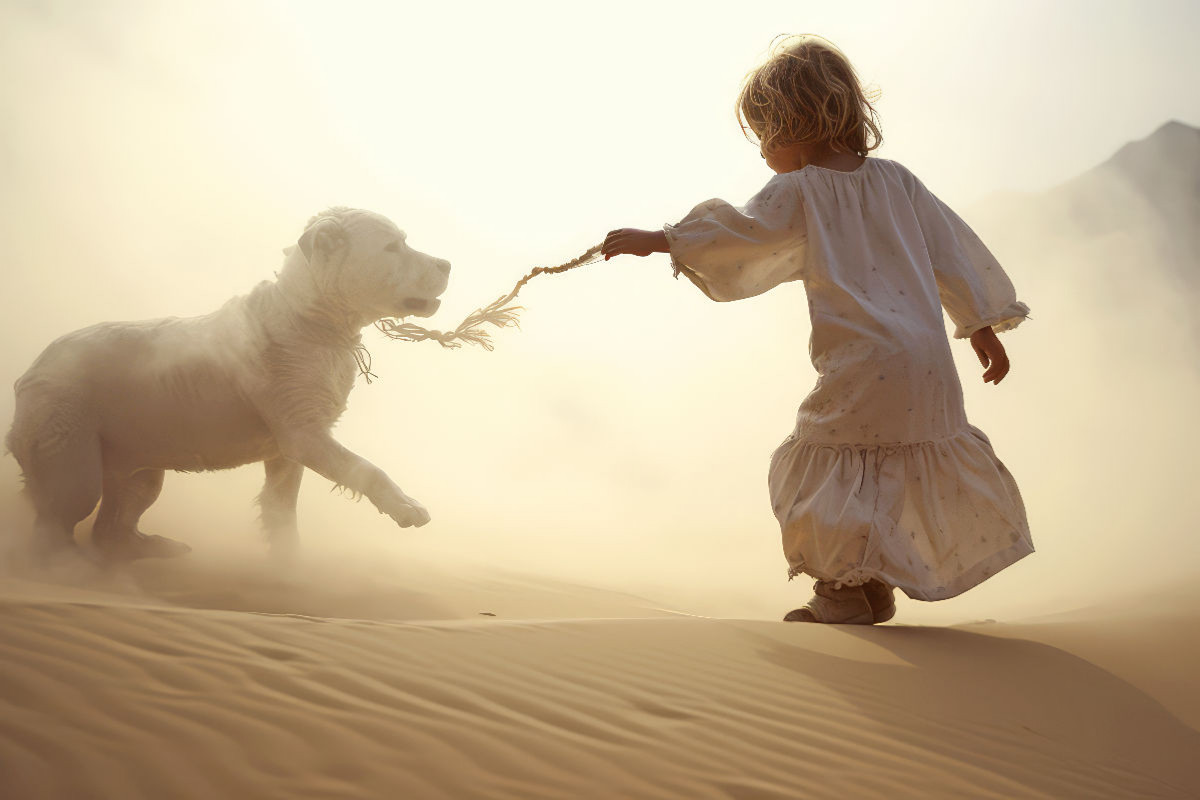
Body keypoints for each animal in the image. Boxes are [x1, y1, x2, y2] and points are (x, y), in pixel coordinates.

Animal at [7, 206, 448, 563]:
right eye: (393, 246)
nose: (446, 263)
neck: (311, 317)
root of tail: (29, 371)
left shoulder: (289, 449)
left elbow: (282, 509)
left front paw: (290, 566)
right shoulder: (303, 434)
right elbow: (368, 470)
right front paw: (408, 508)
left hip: (140, 468)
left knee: (111, 529)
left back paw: (157, 548)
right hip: (72, 458)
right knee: (55, 526)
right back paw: (71, 568)